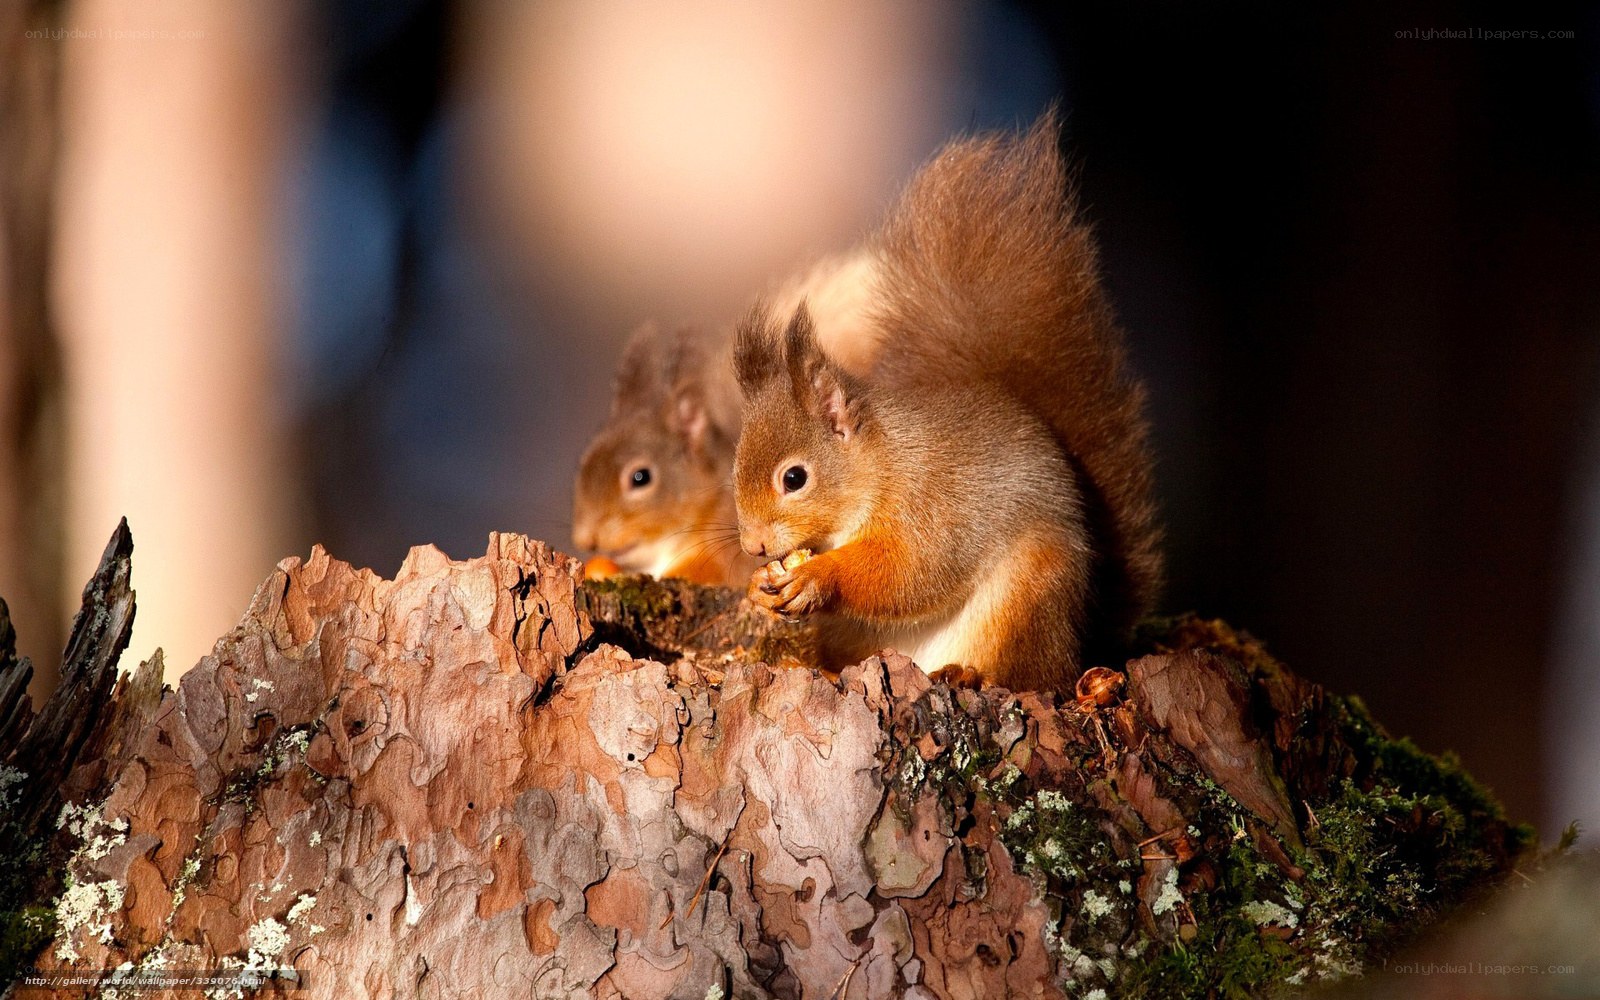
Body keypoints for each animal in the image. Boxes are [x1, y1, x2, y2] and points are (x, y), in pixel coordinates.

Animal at [732, 114, 1162, 690]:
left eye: (794, 478)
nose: (753, 546)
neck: (883, 463)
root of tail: (1080, 639)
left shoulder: (934, 506)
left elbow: (911, 570)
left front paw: (819, 577)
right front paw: (758, 587)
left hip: (1029, 597)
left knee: (1029, 675)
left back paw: (970, 674)